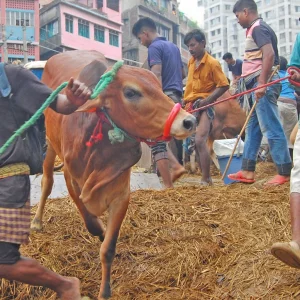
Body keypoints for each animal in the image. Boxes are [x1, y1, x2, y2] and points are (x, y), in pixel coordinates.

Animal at [29, 50, 195, 298]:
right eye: (131, 92)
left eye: (158, 86)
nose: (189, 120)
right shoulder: (71, 179)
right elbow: (90, 222)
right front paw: (99, 229)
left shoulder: (120, 195)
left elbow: (108, 248)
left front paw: (105, 291)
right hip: (49, 146)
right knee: (47, 181)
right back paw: (37, 221)